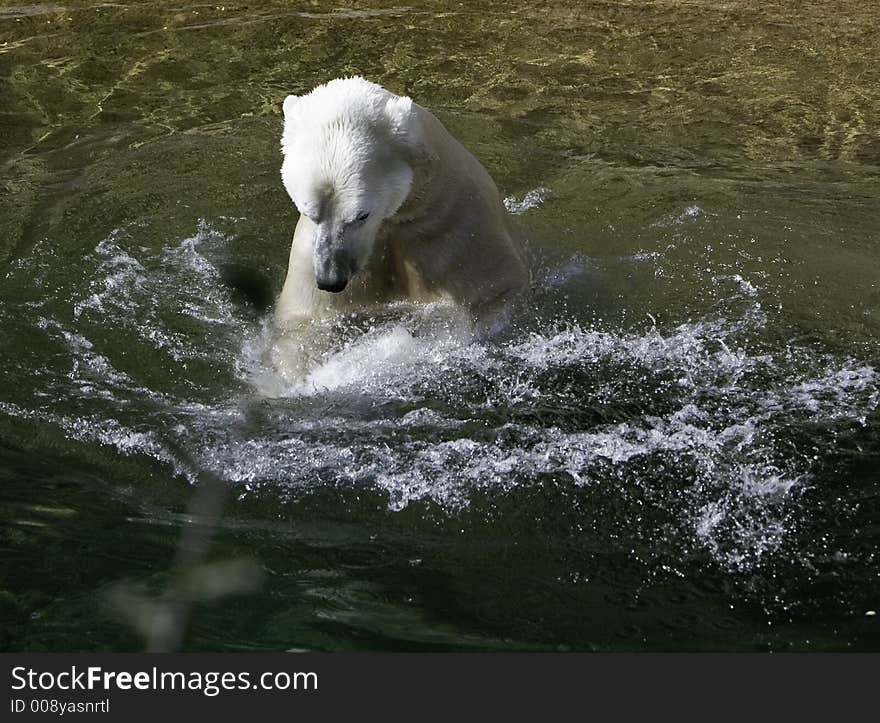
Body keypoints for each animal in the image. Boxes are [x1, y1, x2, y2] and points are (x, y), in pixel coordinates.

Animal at [276, 75, 524, 336]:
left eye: (362, 215)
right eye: (309, 212)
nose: (331, 280)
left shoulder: (457, 229)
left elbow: (488, 295)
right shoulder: (309, 255)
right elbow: (304, 318)